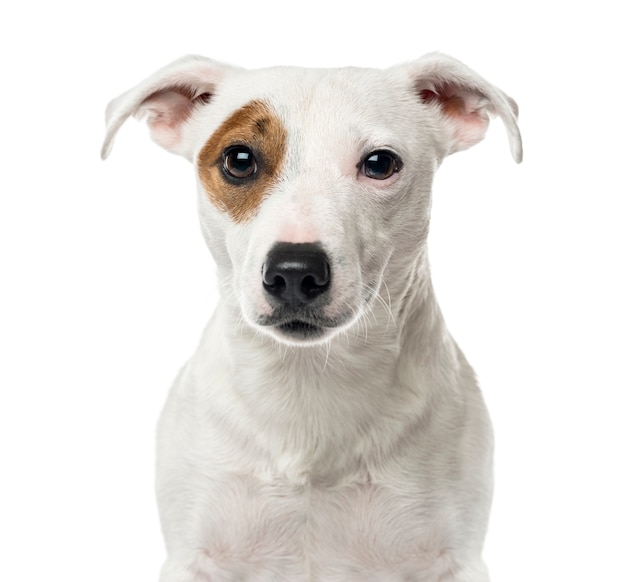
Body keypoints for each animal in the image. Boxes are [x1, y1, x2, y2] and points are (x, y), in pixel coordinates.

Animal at [103, 52, 520, 580]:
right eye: (239, 160)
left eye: (379, 163)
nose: (295, 271)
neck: (309, 384)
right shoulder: (193, 556)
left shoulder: (455, 559)